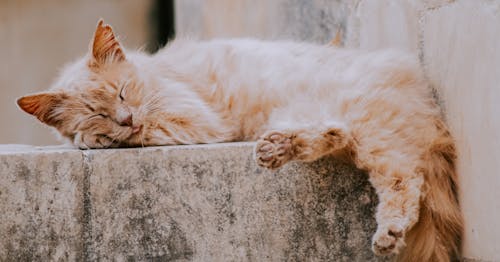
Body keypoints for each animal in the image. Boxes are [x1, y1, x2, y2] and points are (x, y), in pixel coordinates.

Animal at [17, 19, 462, 260]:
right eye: (99, 110)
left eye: (124, 92)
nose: (125, 119)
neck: (156, 71)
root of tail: (421, 90)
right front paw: (91, 135)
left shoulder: (195, 120)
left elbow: (145, 131)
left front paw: (95, 140)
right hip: (326, 121)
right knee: (334, 135)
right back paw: (276, 148)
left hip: (375, 129)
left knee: (404, 182)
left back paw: (389, 234)